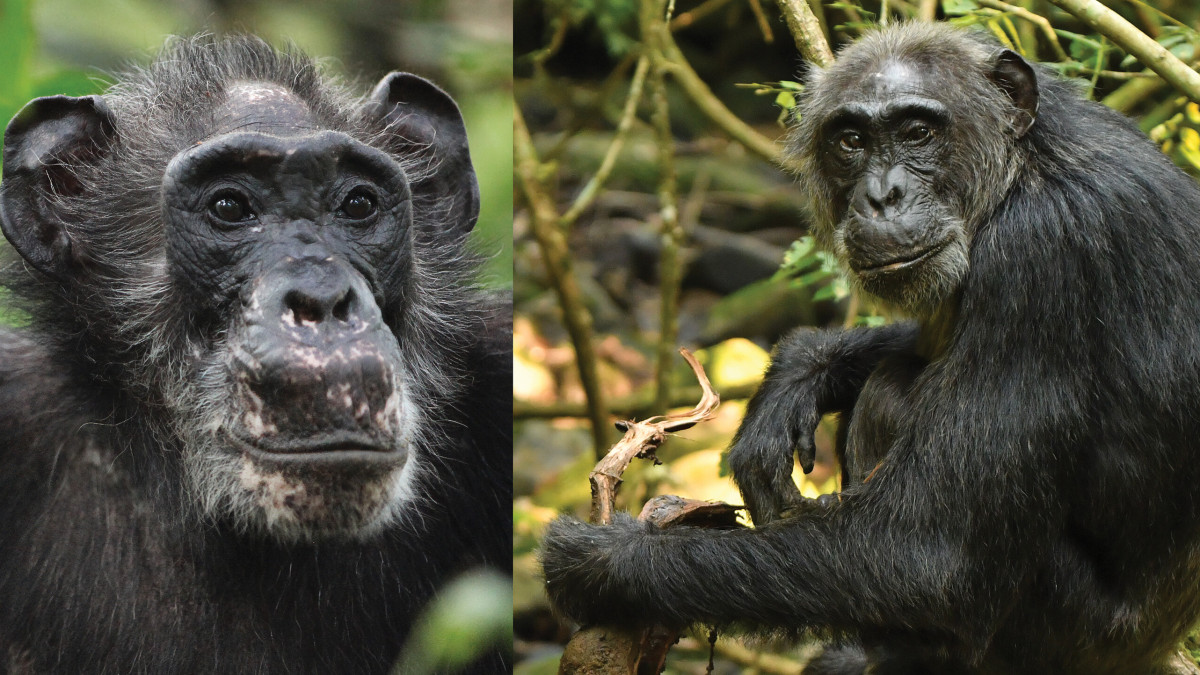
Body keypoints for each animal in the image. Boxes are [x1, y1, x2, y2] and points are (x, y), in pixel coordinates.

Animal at [544, 21, 1200, 672]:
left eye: (917, 133)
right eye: (852, 141)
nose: (884, 195)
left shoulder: (1041, 254)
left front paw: (608, 559)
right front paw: (796, 379)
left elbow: (927, 554)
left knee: (891, 404)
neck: (1020, 170)